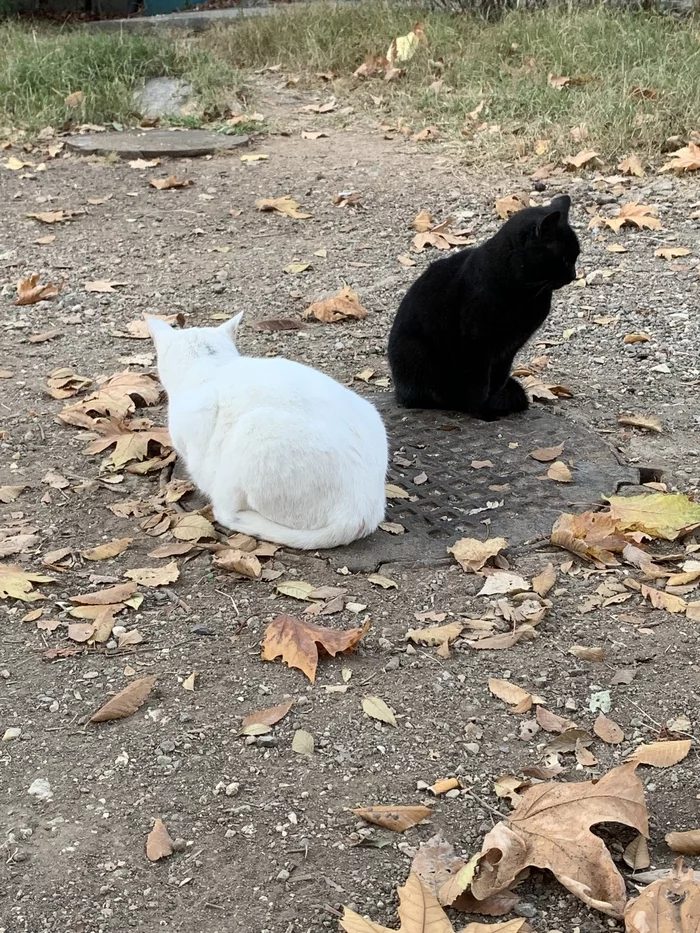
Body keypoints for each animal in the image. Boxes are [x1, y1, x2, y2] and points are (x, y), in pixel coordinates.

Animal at [388, 197, 580, 422]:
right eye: (565, 259)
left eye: (576, 257)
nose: (574, 275)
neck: (526, 295)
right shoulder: (476, 346)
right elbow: (478, 385)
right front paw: (483, 412)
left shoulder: (507, 351)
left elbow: (496, 381)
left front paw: (494, 402)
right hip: (416, 352)